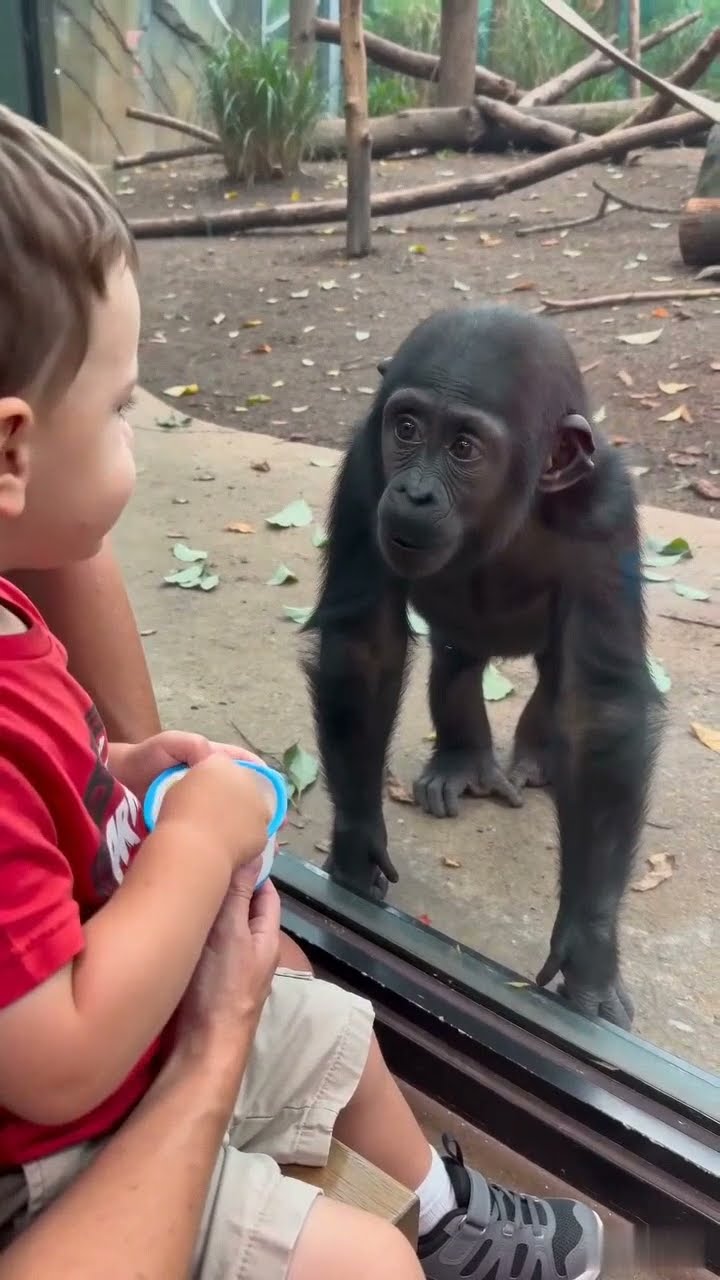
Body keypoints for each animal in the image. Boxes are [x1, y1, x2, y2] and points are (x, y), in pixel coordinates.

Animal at [304, 306, 664, 1030]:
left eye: (465, 447)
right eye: (407, 428)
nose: (414, 491)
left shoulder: (608, 511)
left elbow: (602, 708)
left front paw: (590, 945)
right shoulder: (364, 467)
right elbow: (364, 646)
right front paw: (356, 844)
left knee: (558, 684)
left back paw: (537, 757)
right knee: (455, 669)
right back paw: (462, 762)